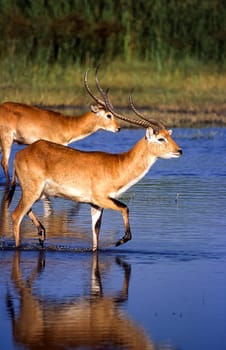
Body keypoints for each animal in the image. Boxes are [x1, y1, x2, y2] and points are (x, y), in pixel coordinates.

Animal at [8, 81, 182, 249]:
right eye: (161, 138)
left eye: (168, 136)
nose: (179, 151)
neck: (117, 165)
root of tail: (21, 153)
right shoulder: (102, 199)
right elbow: (125, 207)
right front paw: (120, 240)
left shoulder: (96, 205)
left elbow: (96, 237)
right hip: (33, 191)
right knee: (16, 216)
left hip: (37, 193)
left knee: (25, 212)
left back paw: (42, 233)